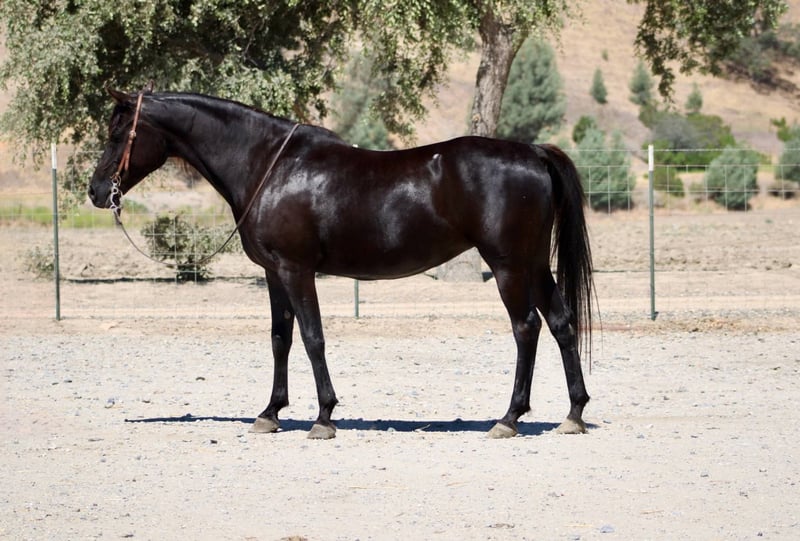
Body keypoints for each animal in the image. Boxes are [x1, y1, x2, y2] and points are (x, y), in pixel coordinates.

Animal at [89, 89, 594, 440]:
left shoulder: (296, 270)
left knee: (526, 328)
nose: (96, 191)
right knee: (561, 323)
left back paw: (509, 418)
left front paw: (324, 417)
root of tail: (533, 153)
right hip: (534, 265)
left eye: (117, 135)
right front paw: (270, 413)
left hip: (509, 265)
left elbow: (313, 338)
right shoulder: (274, 273)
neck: (270, 166)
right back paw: (573, 414)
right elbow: (280, 339)